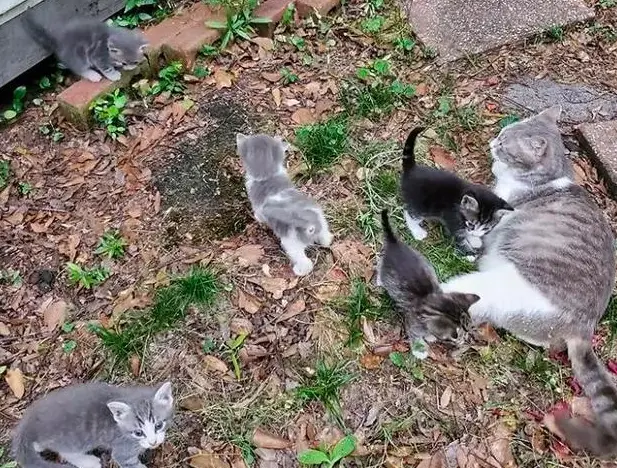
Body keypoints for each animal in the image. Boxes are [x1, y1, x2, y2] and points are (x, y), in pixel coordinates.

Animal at [10, 380, 173, 468]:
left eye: (158, 425)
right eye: (138, 433)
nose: (153, 442)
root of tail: (30, 418)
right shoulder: (122, 451)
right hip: (72, 440)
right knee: (65, 452)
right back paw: (87, 461)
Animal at [235, 132, 332, 276]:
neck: (268, 176)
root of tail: (309, 222)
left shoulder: (257, 206)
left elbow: (259, 215)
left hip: (291, 243)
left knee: (304, 261)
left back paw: (300, 270)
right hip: (321, 220)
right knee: (325, 237)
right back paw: (326, 240)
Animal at [376, 210, 476, 346]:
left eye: (467, 329)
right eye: (459, 336)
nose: (465, 339)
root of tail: (394, 243)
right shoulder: (413, 322)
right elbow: (417, 336)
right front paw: (426, 342)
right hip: (387, 272)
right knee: (380, 266)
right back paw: (379, 281)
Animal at [400, 127, 510, 256]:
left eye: (486, 228)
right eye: (471, 224)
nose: (475, 233)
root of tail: (412, 169)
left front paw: (474, 239)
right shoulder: (453, 221)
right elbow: (460, 240)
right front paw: (469, 254)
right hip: (420, 204)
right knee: (409, 212)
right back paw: (417, 231)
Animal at [440, 106, 616, 454]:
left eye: (505, 144)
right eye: (500, 135)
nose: (493, 142)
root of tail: (585, 327)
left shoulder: (496, 210)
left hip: (493, 286)